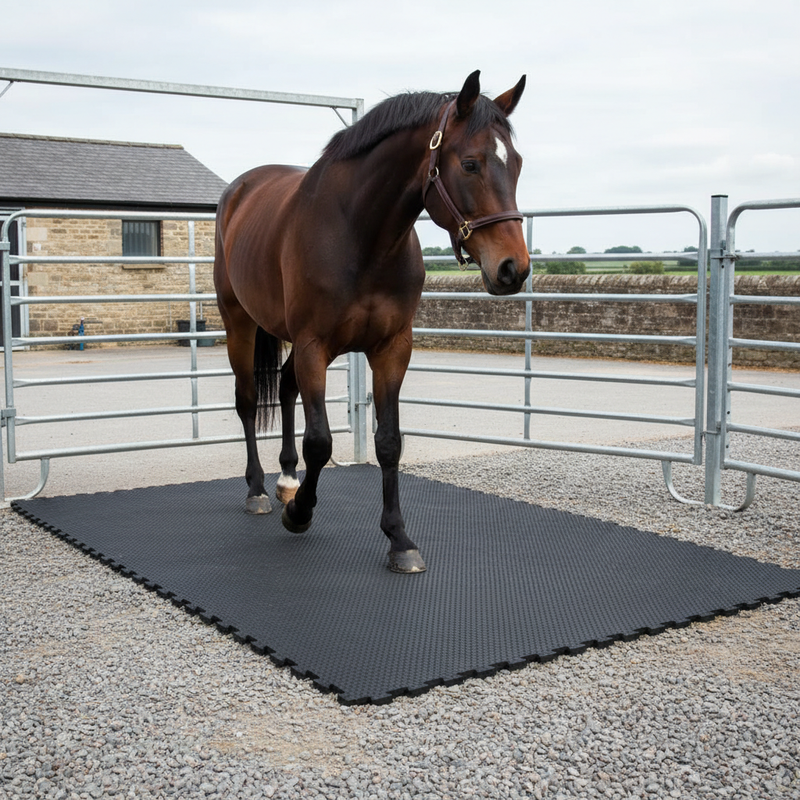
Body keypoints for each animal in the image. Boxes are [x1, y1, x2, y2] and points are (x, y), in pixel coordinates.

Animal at [214, 70, 530, 573]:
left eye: (516, 162)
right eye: (471, 164)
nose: (512, 268)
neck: (359, 234)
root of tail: (238, 190)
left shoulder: (392, 348)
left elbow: (389, 442)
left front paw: (399, 539)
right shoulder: (314, 346)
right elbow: (320, 442)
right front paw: (299, 514)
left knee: (284, 388)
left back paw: (286, 478)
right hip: (238, 322)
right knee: (247, 401)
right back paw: (259, 489)